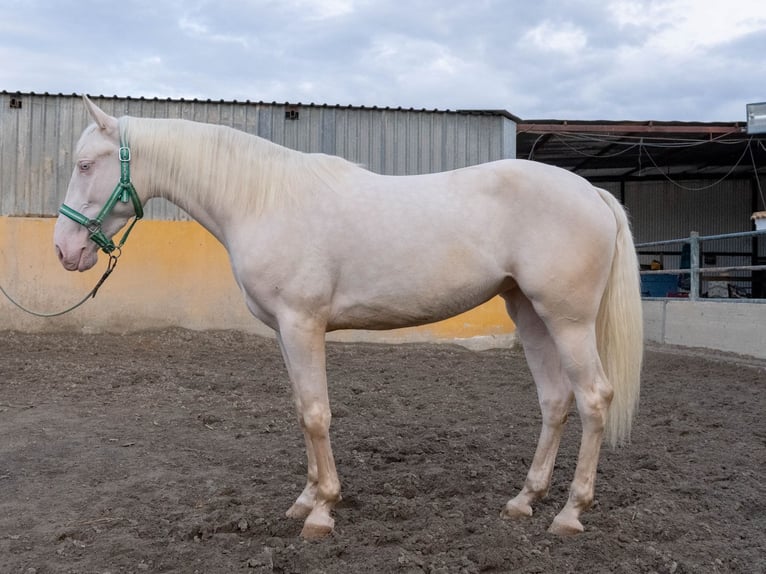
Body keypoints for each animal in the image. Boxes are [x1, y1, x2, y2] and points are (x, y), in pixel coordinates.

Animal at [54, 97, 644, 544]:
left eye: (84, 165)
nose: (64, 250)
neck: (263, 200)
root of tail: (590, 191)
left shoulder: (302, 324)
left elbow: (317, 414)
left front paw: (322, 511)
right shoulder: (285, 332)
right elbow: (301, 410)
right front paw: (305, 498)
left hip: (567, 319)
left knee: (593, 398)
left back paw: (570, 513)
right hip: (530, 312)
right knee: (555, 400)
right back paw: (524, 500)